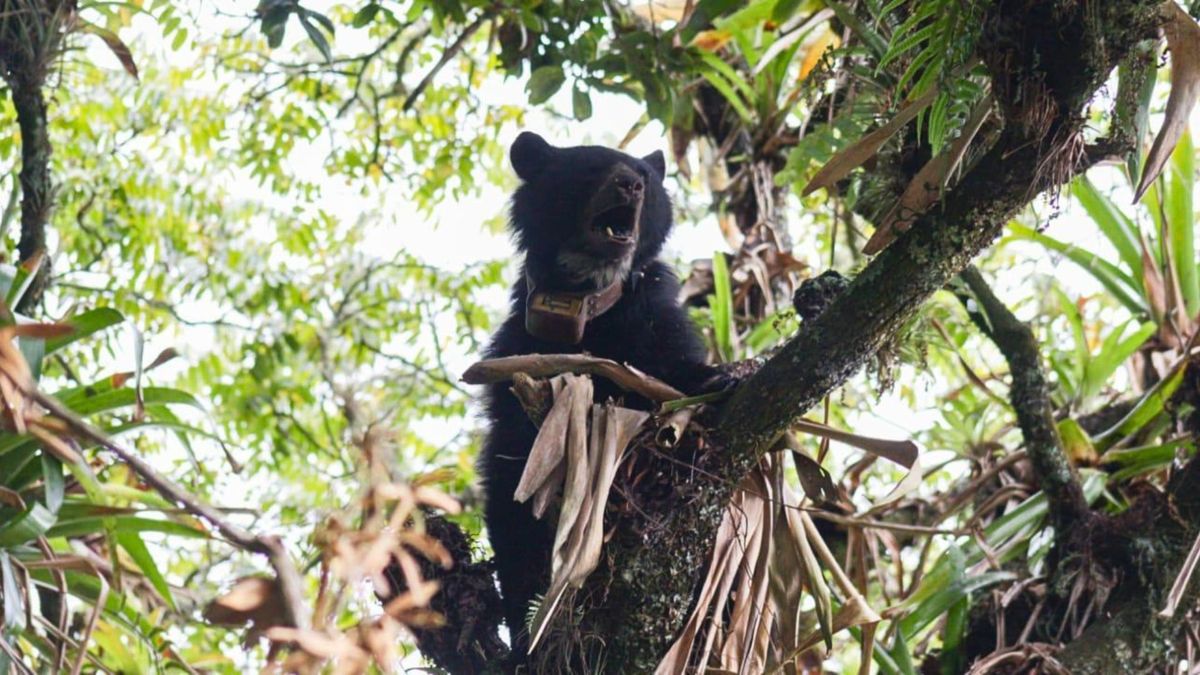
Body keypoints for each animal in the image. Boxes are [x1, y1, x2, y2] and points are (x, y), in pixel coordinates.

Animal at [478, 131, 728, 659]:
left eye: (645, 174)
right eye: (591, 168)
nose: (631, 184)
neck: (585, 299)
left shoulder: (652, 318)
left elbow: (674, 368)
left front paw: (719, 379)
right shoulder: (516, 354)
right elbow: (514, 465)